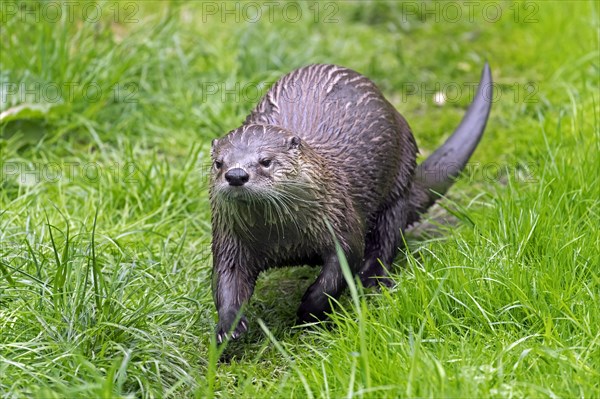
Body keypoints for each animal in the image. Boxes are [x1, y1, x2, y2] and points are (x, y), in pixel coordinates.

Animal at [210, 62, 492, 344]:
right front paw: (229, 325)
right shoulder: (230, 241)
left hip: (398, 183)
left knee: (387, 236)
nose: (236, 175)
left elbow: (339, 270)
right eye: (219, 163)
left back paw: (372, 280)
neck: (283, 238)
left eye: (266, 161)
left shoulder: (341, 219)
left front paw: (308, 311)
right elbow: (226, 279)